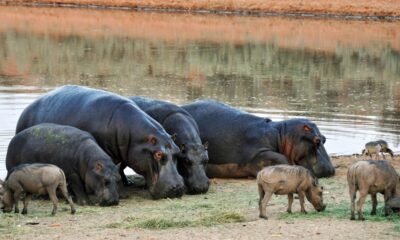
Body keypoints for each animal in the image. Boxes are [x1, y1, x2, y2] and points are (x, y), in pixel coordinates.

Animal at [183, 99, 336, 178]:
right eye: (317, 140)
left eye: (324, 138)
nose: (331, 170)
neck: (281, 135)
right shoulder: (259, 152)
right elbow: (282, 158)